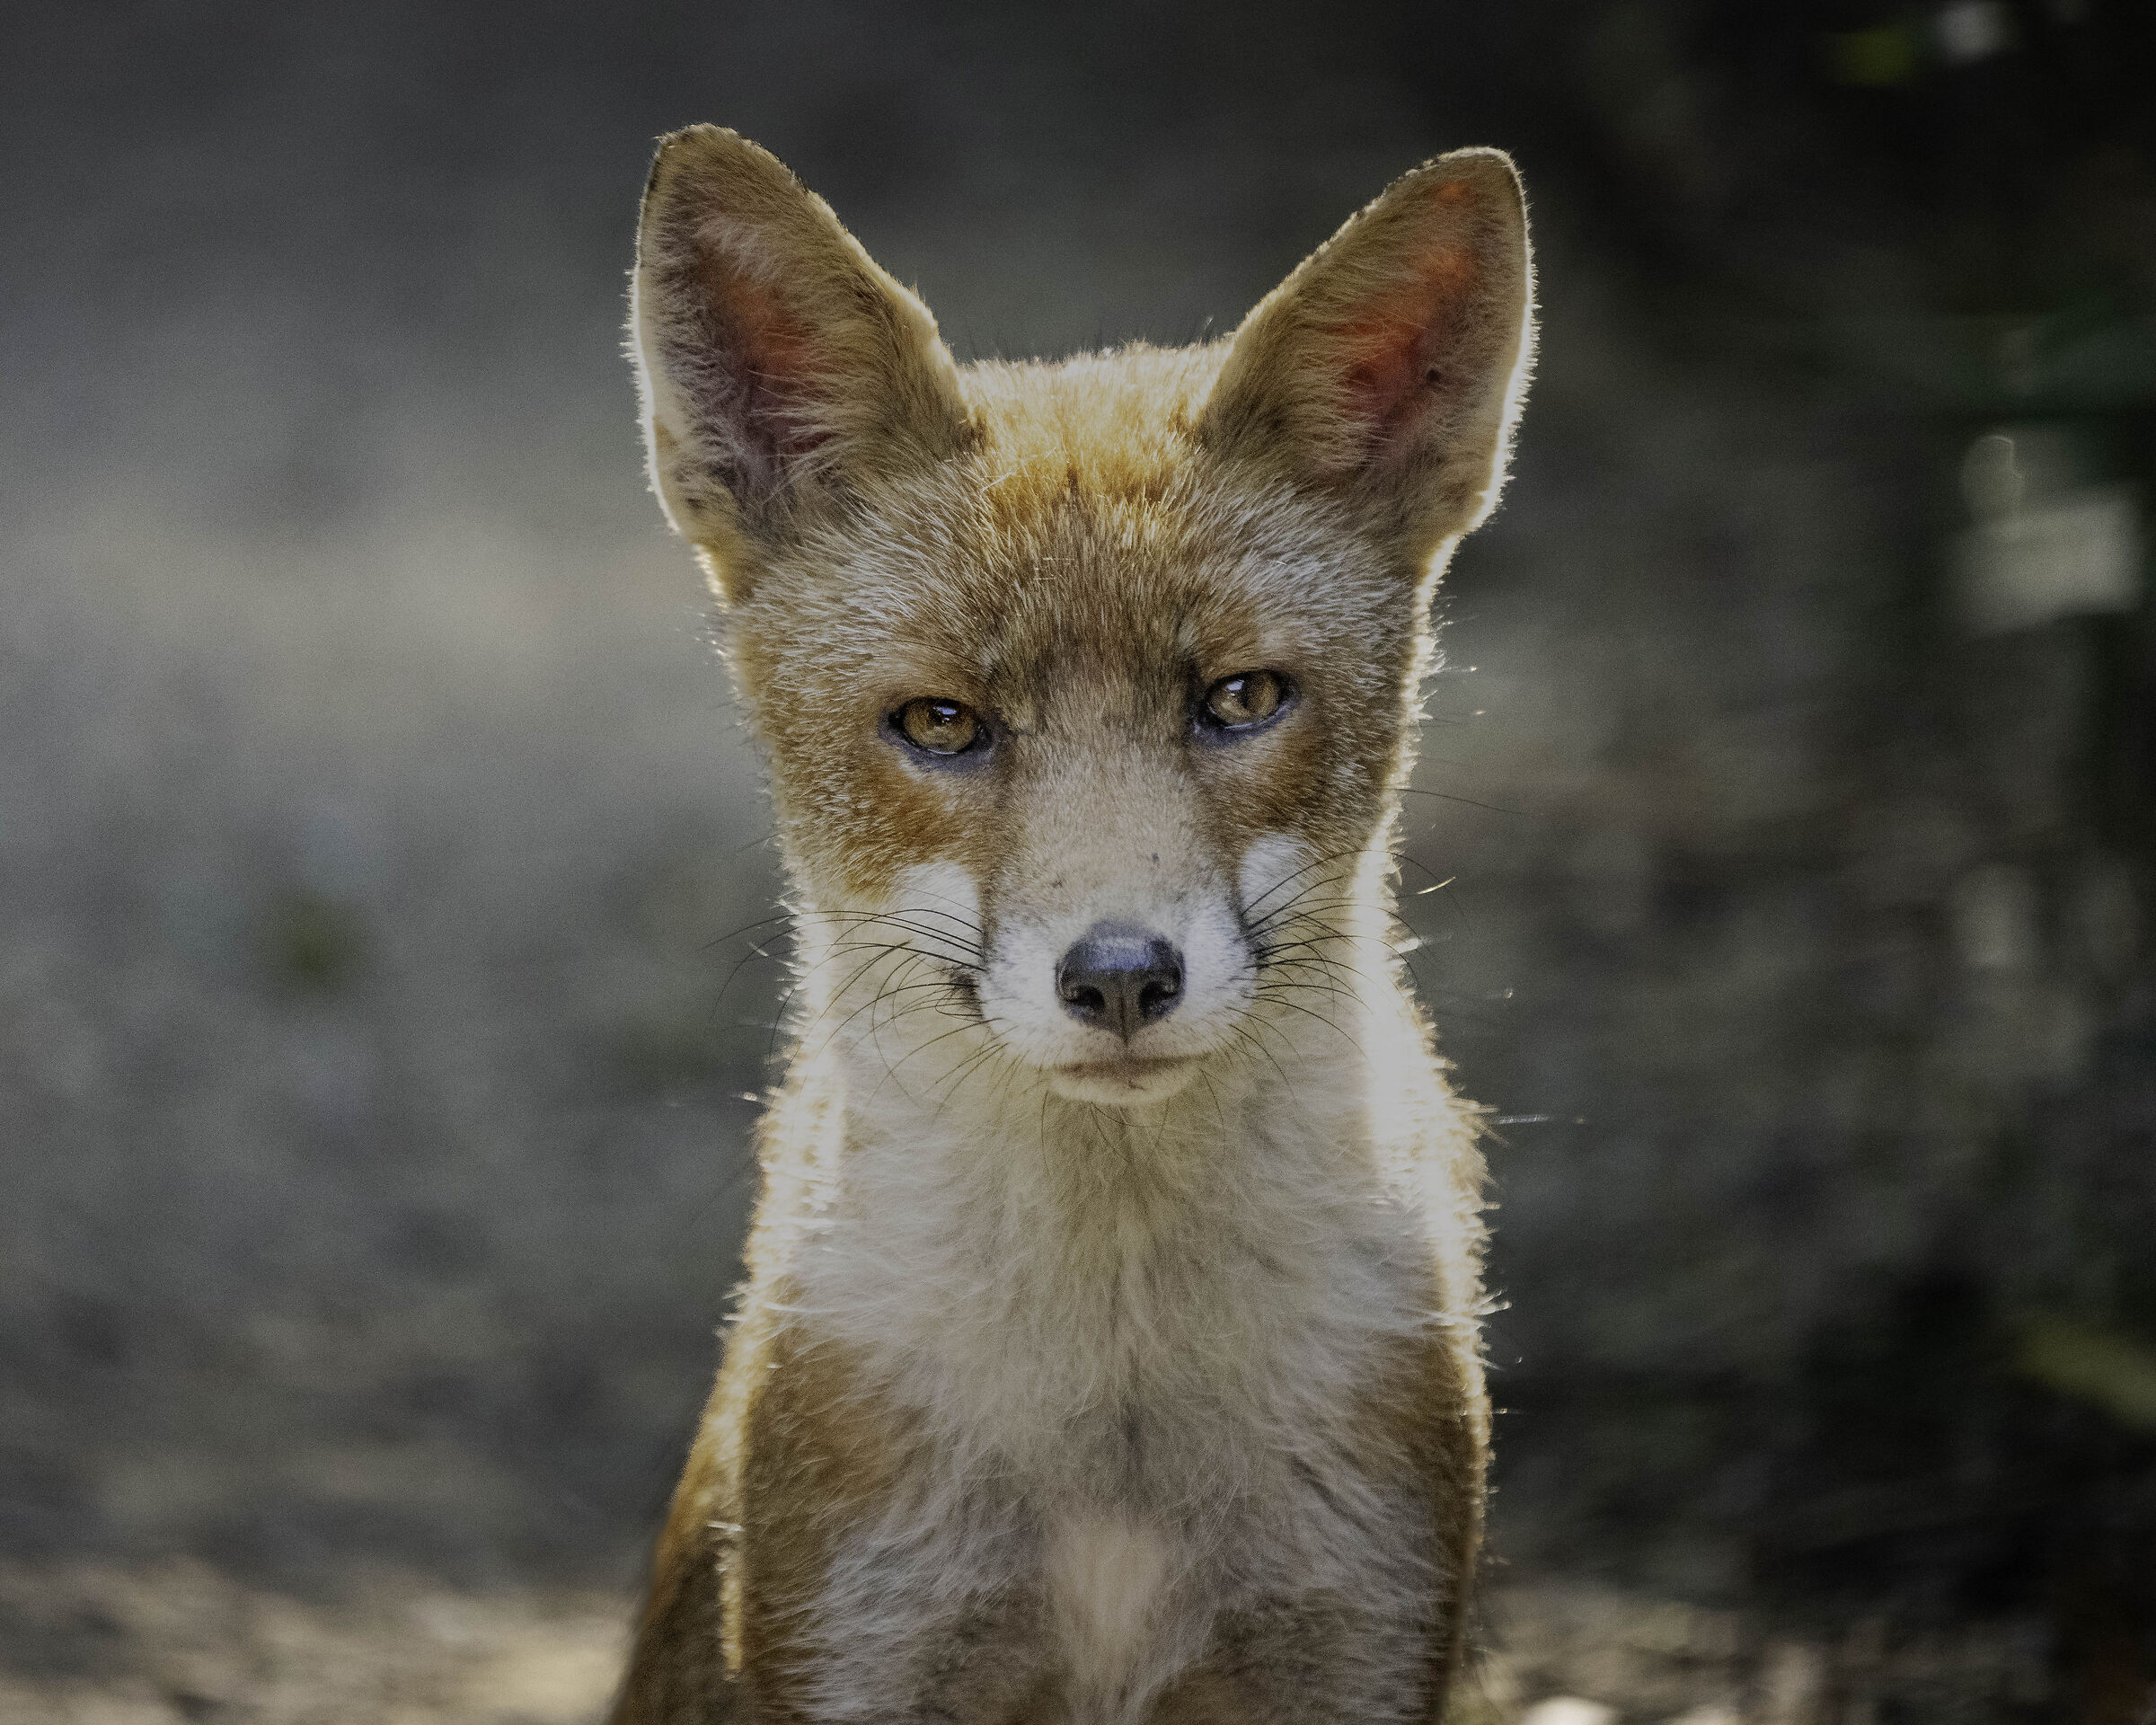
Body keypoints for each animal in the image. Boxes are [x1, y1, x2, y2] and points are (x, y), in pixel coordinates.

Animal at [610, 125, 1535, 1725]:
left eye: (1240, 698)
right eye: (942, 724)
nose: (1118, 978)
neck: (1119, 1424)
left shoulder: (1359, 1640)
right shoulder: (861, 1642)